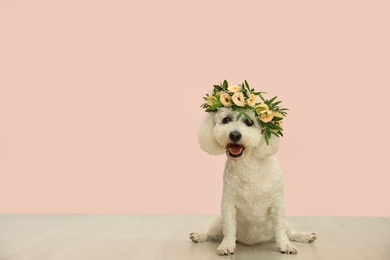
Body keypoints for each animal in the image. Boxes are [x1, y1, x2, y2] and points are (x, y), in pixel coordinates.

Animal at [190, 107, 316, 254]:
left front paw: (286, 245)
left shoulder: (277, 203)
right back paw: (200, 235)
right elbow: (229, 228)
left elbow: (280, 229)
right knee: (212, 233)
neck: (248, 165)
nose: (235, 135)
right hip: (218, 223)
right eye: (226, 120)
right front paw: (227, 245)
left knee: (289, 232)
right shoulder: (228, 204)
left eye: (249, 122)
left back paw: (304, 236)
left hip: (283, 225)